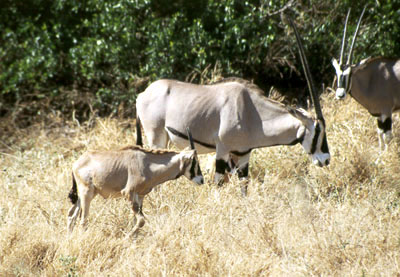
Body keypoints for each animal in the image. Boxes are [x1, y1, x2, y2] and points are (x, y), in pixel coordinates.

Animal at [67, 140, 203, 233]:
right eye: (194, 161)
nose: (202, 180)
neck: (147, 163)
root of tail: (76, 164)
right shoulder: (129, 193)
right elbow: (141, 221)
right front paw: (127, 237)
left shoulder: (140, 196)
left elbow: (135, 220)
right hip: (87, 193)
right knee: (83, 220)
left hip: (85, 195)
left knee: (71, 215)